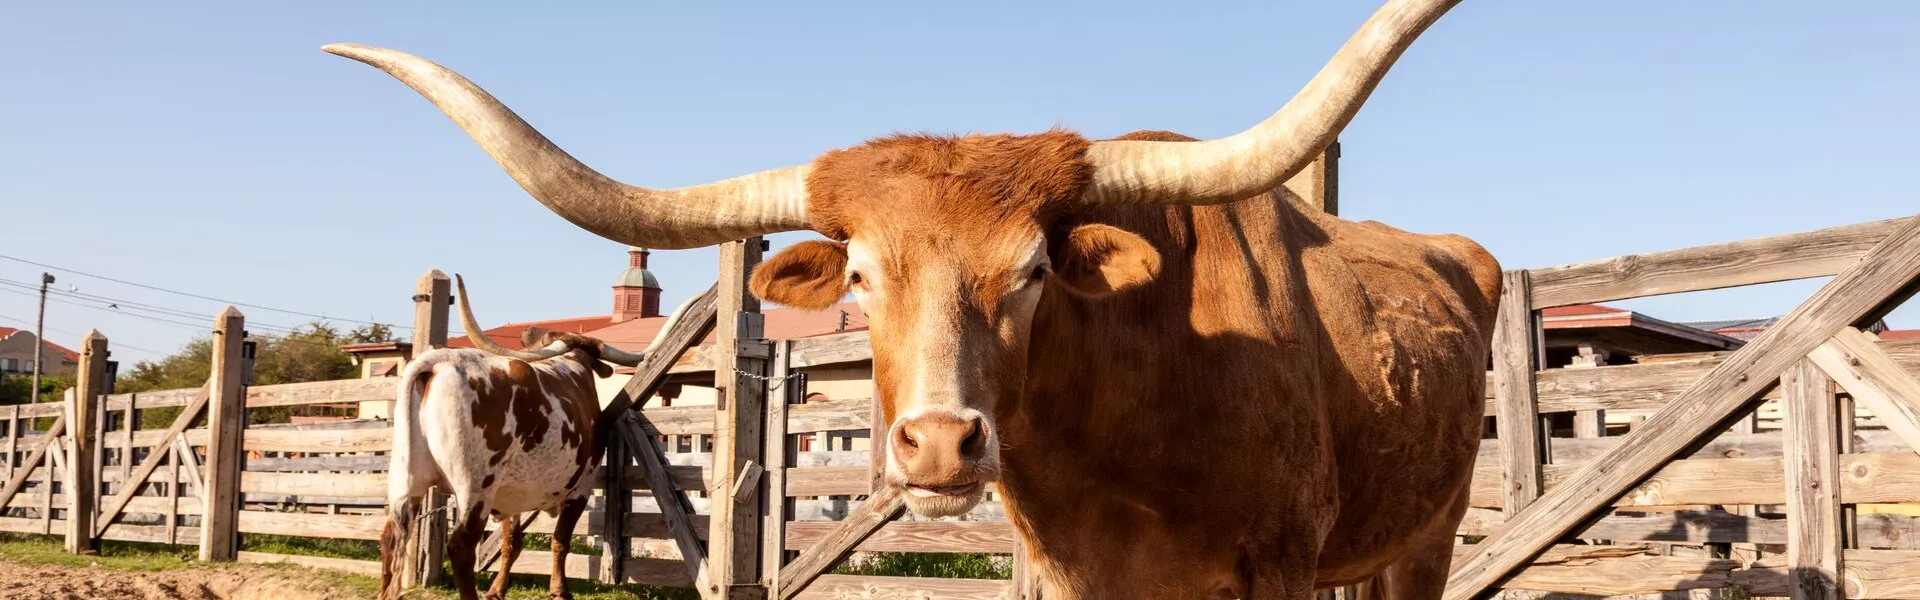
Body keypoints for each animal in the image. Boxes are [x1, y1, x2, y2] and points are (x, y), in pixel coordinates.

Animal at [381, 275, 685, 600]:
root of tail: (440, 360)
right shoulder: (580, 489)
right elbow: (560, 540)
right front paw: (560, 591)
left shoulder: (509, 497)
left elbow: (511, 544)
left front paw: (497, 590)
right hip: (474, 487)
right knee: (461, 546)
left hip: (406, 482)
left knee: (390, 539)